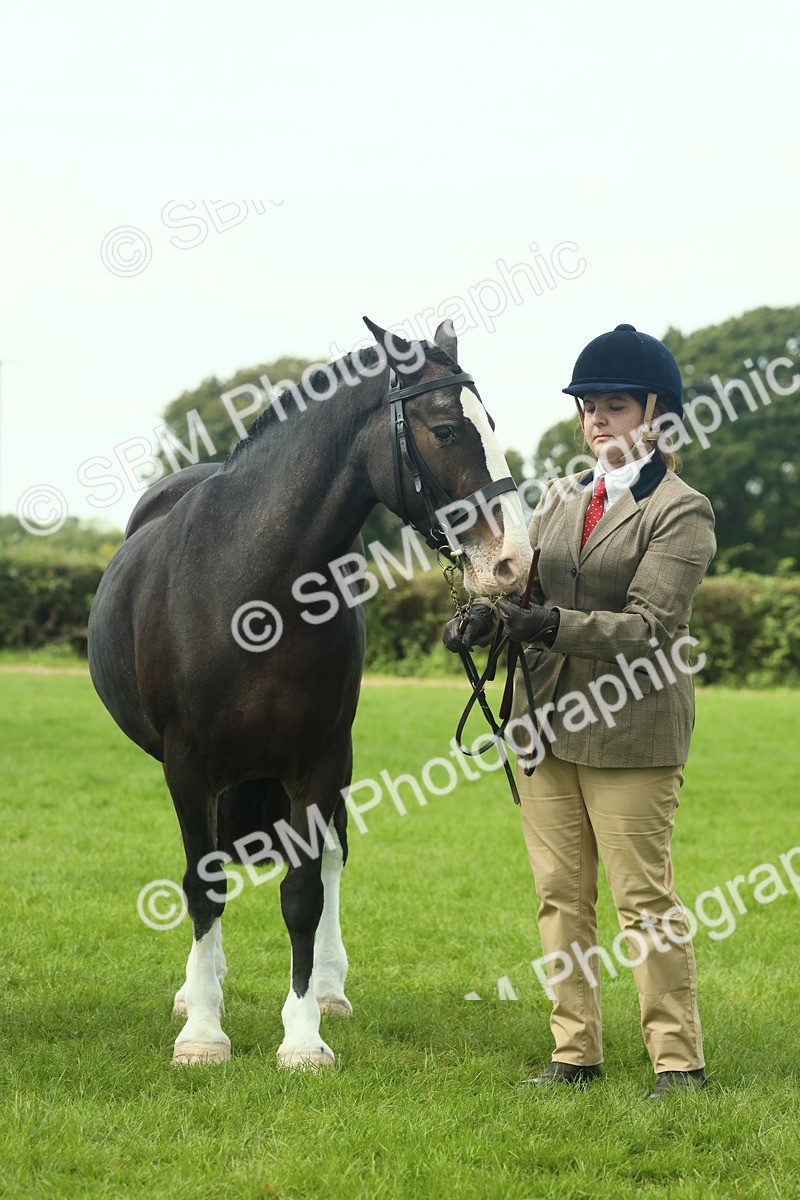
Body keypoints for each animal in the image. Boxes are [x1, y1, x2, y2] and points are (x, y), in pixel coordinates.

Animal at [87, 317, 533, 1067]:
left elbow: (303, 892)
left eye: (491, 423)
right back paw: (201, 985)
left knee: (327, 862)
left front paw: (302, 1035)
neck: (257, 593)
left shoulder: (318, 759)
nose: (513, 562)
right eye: (447, 430)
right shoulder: (188, 766)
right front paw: (202, 1031)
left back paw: (325, 990)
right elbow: (202, 884)